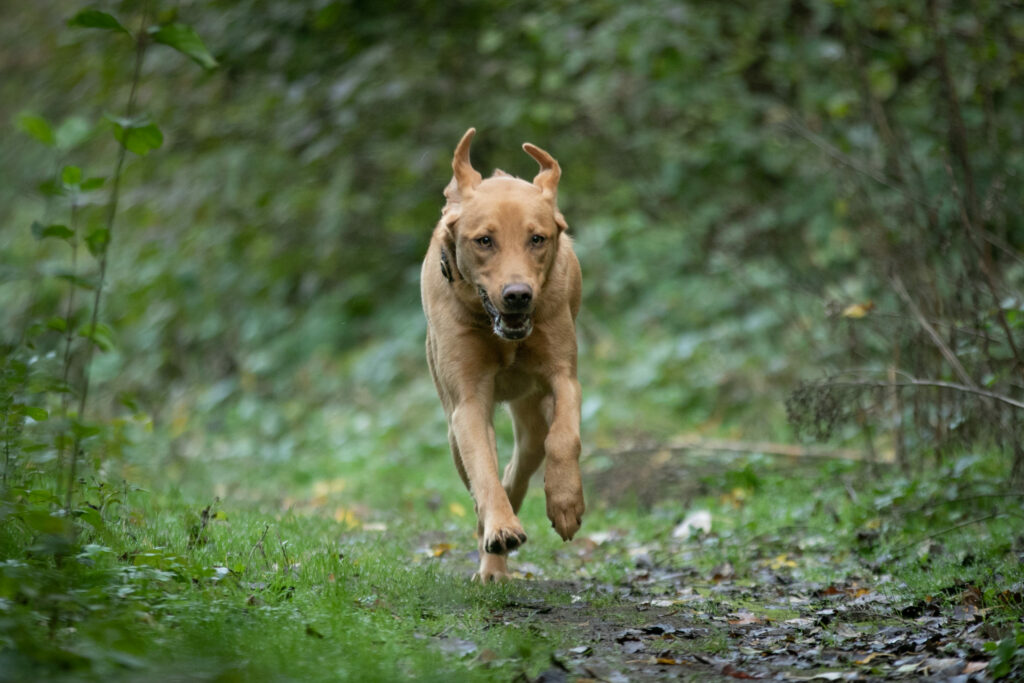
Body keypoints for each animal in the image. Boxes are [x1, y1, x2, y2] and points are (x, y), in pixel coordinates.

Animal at [419, 127, 585, 581]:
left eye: (537, 238)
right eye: (484, 241)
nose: (517, 295)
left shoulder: (564, 375)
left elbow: (565, 437)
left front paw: (566, 503)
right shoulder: (468, 402)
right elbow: (483, 470)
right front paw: (501, 529)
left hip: (530, 418)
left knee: (526, 458)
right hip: (451, 424)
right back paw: (492, 557)